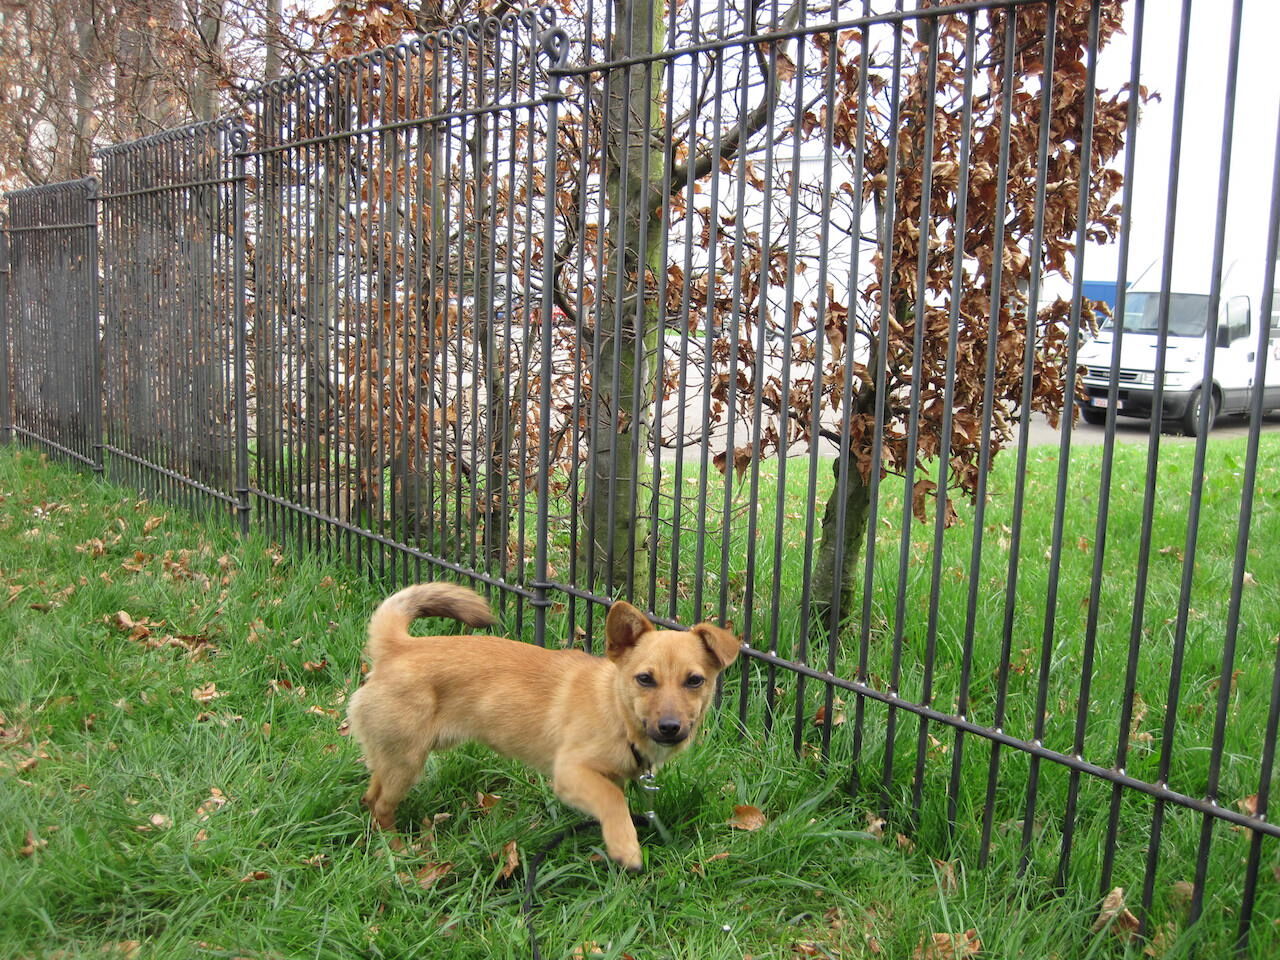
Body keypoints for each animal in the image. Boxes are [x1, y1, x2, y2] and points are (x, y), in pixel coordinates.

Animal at [345, 583, 742, 870]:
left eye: (694, 681)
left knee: (371, 797)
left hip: (394, 758)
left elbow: (612, 800)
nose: (671, 727)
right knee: (381, 807)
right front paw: (625, 846)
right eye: (645, 679)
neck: (616, 711)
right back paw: (398, 850)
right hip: (406, 764)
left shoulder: (604, 777)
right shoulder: (571, 773)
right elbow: (613, 802)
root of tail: (398, 647)